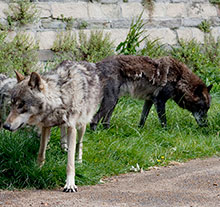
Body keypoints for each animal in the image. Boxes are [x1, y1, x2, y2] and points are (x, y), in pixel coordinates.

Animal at [3, 60, 102, 192]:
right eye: (12, 104)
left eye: (21, 105)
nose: (5, 126)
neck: (59, 99)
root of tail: (86, 63)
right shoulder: (46, 126)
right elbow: (41, 153)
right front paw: (37, 170)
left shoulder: (72, 128)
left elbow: (70, 163)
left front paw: (70, 184)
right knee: (62, 131)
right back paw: (63, 147)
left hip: (82, 124)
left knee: (79, 144)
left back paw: (79, 160)